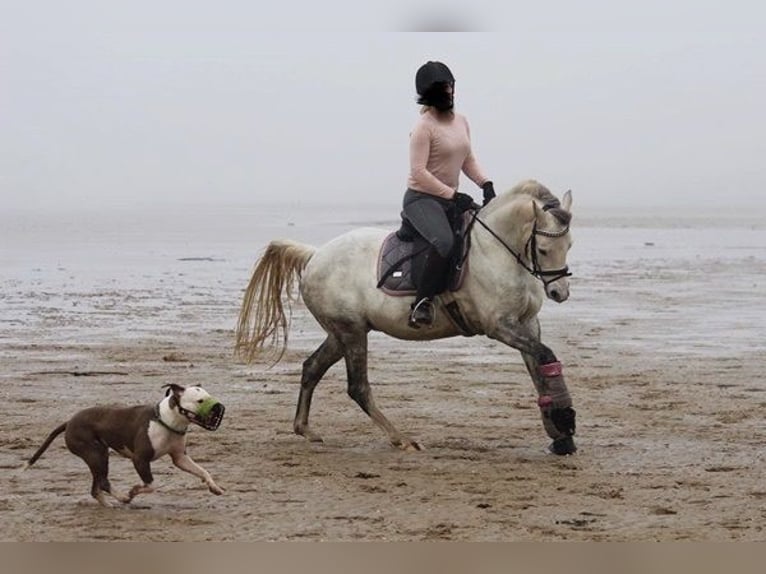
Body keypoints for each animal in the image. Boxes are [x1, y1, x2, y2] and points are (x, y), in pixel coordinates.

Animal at [23, 384, 225, 506]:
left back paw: (109, 505)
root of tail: (69, 422)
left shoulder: (180, 458)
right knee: (103, 483)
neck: (166, 421)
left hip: (98, 457)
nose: (219, 408)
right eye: (200, 401)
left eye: (209, 396)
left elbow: (203, 471)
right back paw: (122, 497)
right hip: (96, 454)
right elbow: (151, 484)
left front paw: (214, 487)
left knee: (96, 488)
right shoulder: (140, 459)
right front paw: (133, 491)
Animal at [237, 178, 580, 456]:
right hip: (351, 332)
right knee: (357, 387)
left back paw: (305, 429)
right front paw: (564, 422)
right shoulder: (498, 326)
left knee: (311, 368)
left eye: (570, 245)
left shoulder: (527, 323)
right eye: (544, 249)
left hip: (341, 333)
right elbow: (546, 356)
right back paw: (401, 439)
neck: (497, 250)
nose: (559, 292)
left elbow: (539, 370)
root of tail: (315, 255)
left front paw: (560, 435)